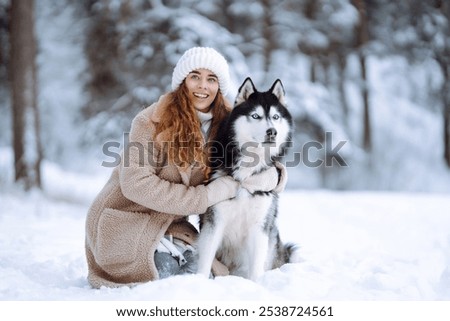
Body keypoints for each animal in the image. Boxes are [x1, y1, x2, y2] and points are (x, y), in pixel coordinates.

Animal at [198, 76, 298, 278]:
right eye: (256, 116)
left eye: (275, 117)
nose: (272, 132)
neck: (247, 175)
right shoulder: (214, 221)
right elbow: (205, 260)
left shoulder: (259, 226)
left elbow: (256, 268)